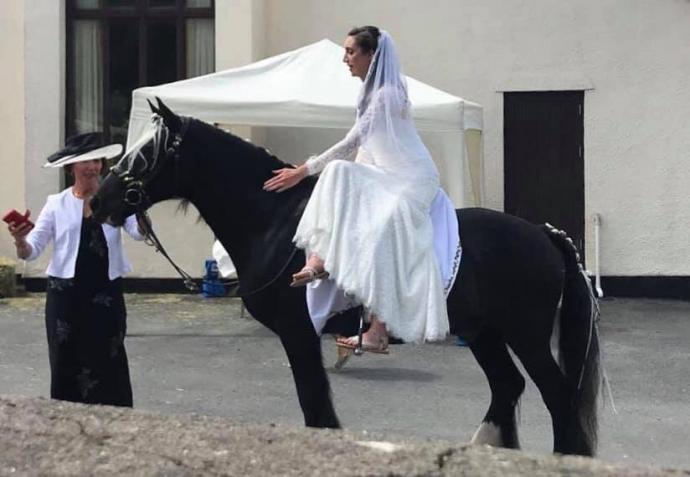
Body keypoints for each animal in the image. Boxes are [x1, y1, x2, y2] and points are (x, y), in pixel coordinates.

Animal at [92, 98, 600, 456]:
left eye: (146, 154)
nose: (98, 201)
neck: (275, 220)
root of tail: (544, 233)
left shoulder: (298, 332)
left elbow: (315, 408)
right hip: (484, 333)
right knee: (507, 387)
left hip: (525, 336)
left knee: (558, 398)